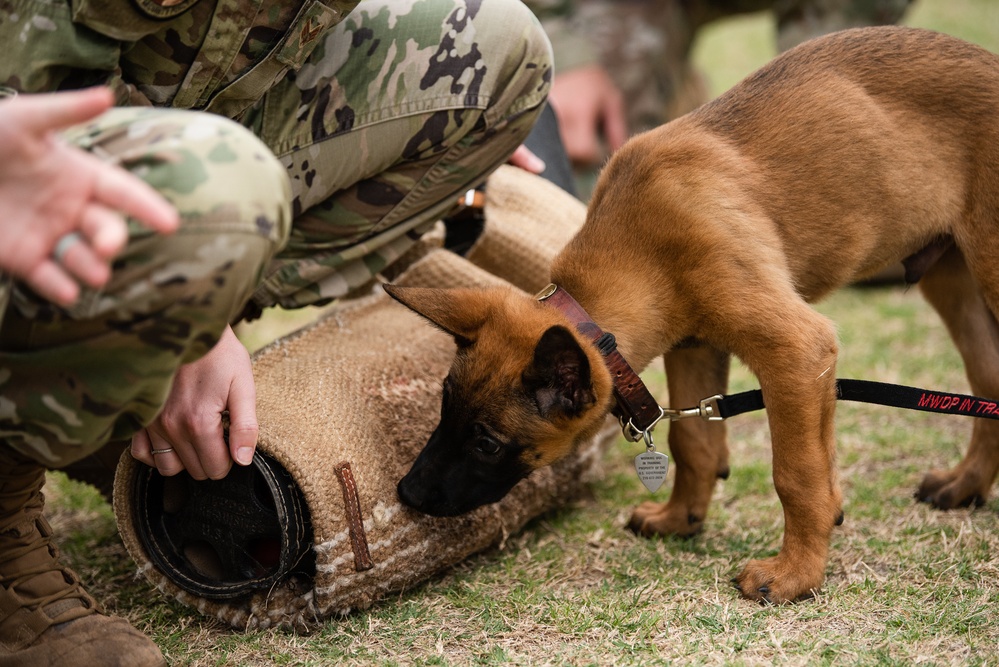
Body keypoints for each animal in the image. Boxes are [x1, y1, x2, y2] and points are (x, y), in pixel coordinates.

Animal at [386, 26, 999, 604]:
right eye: (443, 407)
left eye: (488, 443)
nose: (406, 494)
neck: (642, 246)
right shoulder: (697, 346)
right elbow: (697, 443)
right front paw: (682, 518)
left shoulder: (797, 350)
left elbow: (796, 473)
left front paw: (795, 574)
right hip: (952, 279)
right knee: (988, 379)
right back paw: (965, 485)